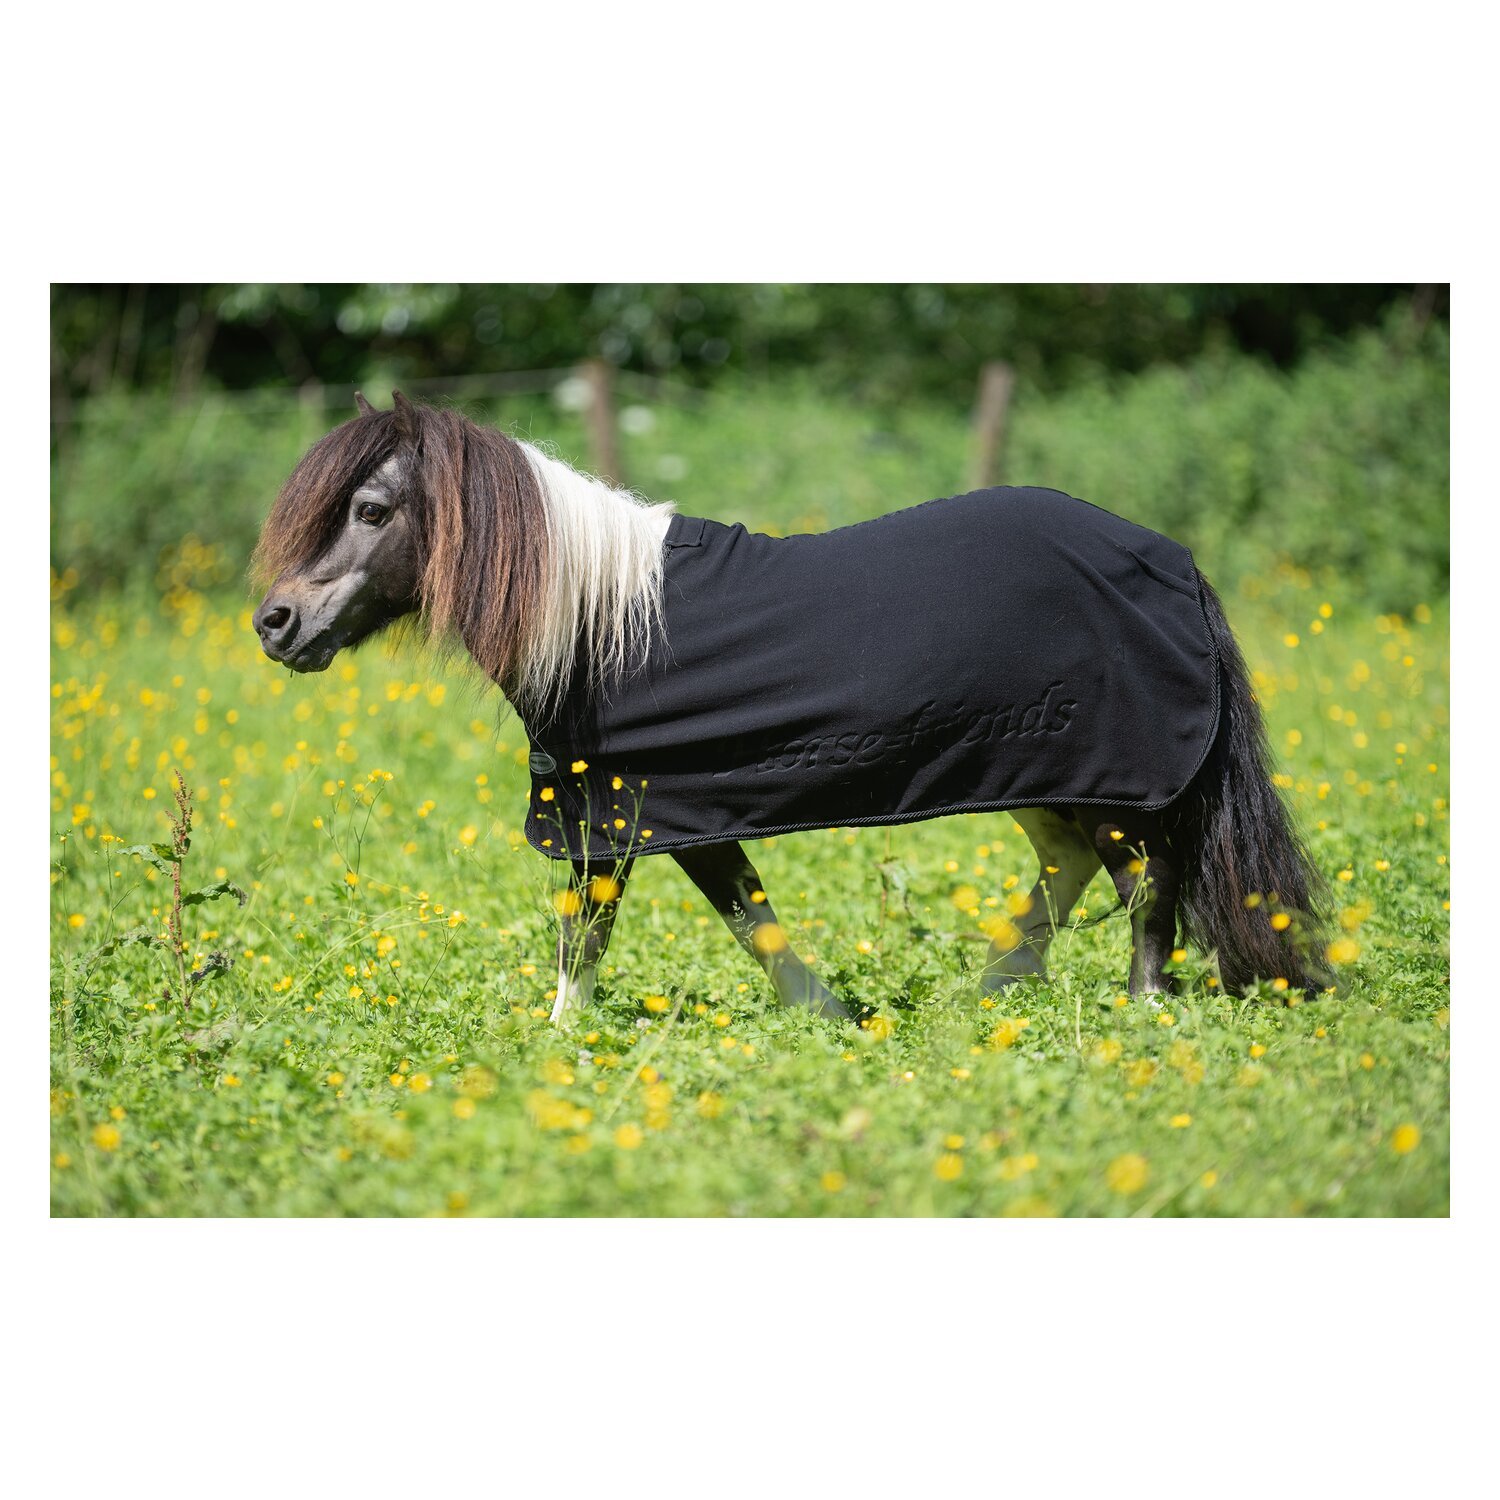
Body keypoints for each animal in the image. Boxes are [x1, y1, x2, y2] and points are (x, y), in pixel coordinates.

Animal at [252, 391, 1330, 1025]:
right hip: (1038, 765)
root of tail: (1167, 556)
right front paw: (834, 1020)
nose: (275, 623)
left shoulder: (632, 813)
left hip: (1112, 774)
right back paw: (984, 993)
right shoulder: (646, 813)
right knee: (1072, 867)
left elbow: (619, 931)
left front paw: (561, 1050)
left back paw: (1138, 1013)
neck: (603, 620)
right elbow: (734, 917)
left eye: (373, 510)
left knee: (1148, 884)